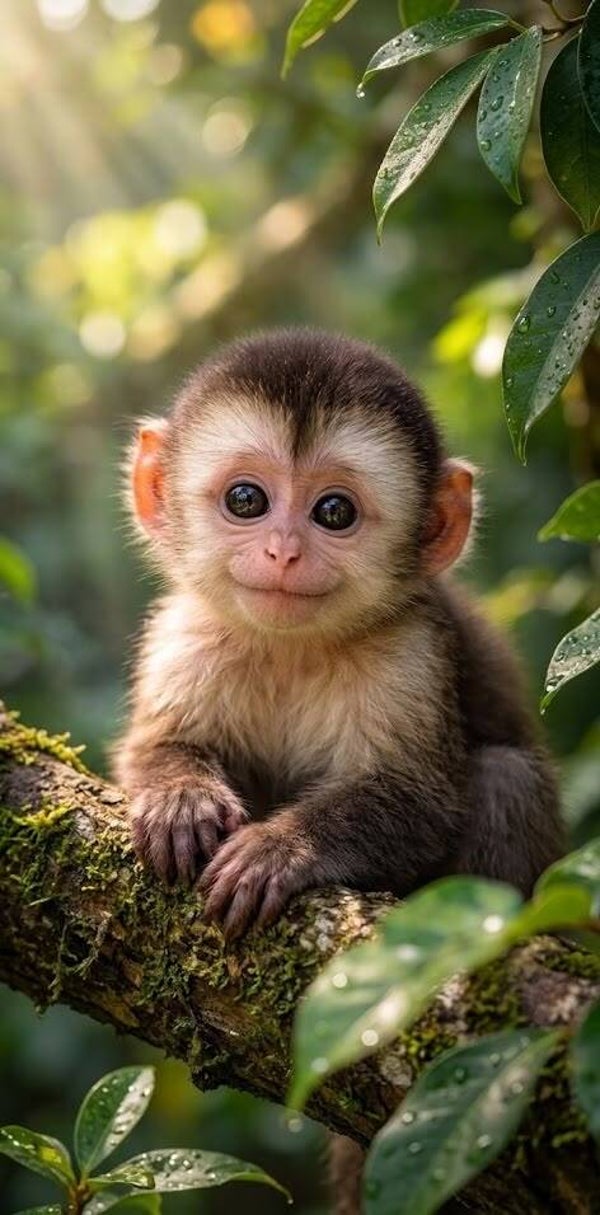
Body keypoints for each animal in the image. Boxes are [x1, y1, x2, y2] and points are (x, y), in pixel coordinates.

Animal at [114, 327, 565, 944]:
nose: (283, 552)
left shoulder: (413, 652)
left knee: (508, 779)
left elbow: (416, 797)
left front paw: (283, 847)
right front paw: (180, 800)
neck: (291, 650)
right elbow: (150, 748)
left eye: (334, 511)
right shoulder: (182, 637)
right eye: (246, 500)